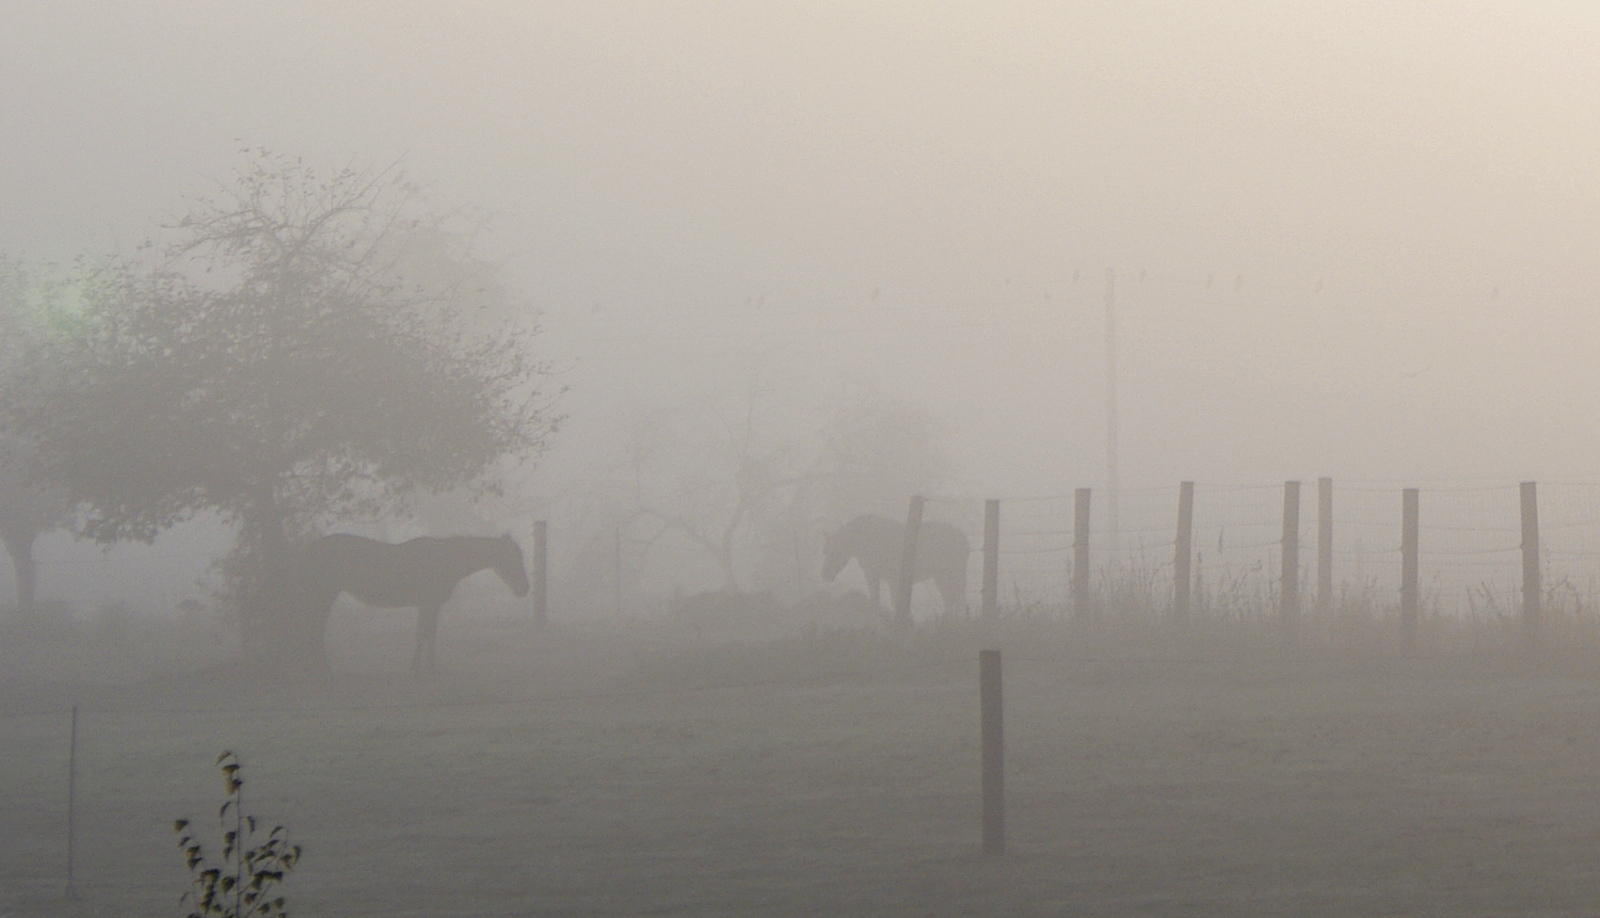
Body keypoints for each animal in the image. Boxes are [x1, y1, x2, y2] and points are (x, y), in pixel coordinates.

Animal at [294, 530, 531, 678]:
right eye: (511, 558)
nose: (524, 589)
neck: (446, 560)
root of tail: (310, 550)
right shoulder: (429, 604)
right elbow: (425, 635)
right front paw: (423, 669)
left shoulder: (428, 605)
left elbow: (426, 634)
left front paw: (423, 667)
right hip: (324, 594)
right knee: (314, 628)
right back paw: (321, 669)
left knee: (313, 628)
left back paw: (314, 668)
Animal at [819, 518, 966, 620]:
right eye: (825, 551)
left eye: (831, 551)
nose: (824, 573)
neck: (857, 546)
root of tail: (967, 544)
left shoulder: (876, 574)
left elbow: (881, 599)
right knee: (954, 599)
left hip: (949, 575)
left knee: (955, 599)